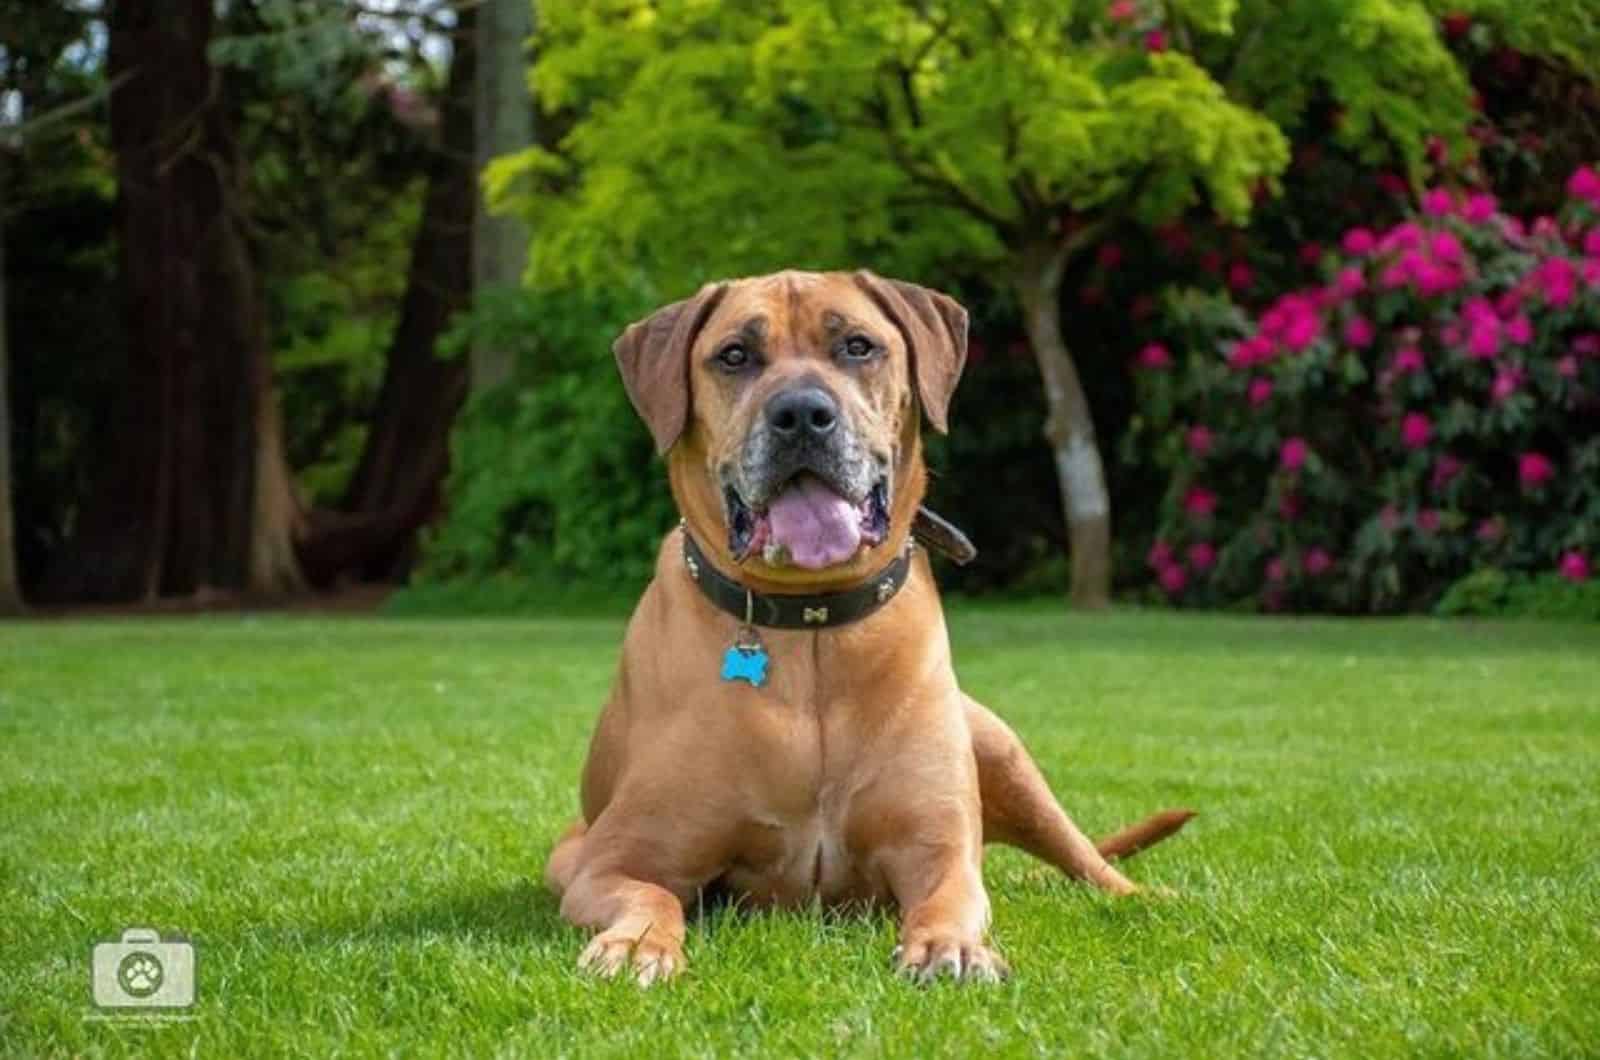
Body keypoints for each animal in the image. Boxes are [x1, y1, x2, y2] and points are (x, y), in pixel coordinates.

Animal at [547, 272, 1190, 986]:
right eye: (735, 355)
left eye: (858, 345)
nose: (802, 414)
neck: (812, 629)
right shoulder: (612, 860)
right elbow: (651, 894)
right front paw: (638, 944)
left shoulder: (938, 847)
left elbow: (950, 897)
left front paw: (948, 946)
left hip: (1002, 750)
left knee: (1086, 859)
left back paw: (1147, 895)